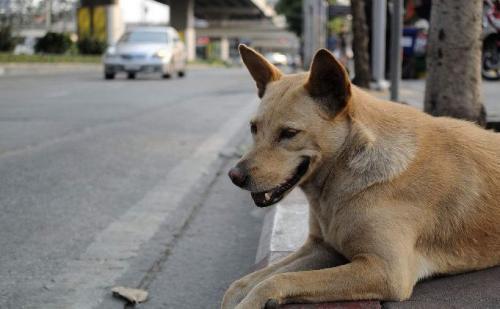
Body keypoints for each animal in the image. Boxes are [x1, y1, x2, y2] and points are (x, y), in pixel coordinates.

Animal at [222, 44, 500, 308]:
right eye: (253, 128)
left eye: (289, 133)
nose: (235, 176)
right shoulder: (322, 247)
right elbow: (242, 283)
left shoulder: (385, 270)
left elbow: (277, 280)